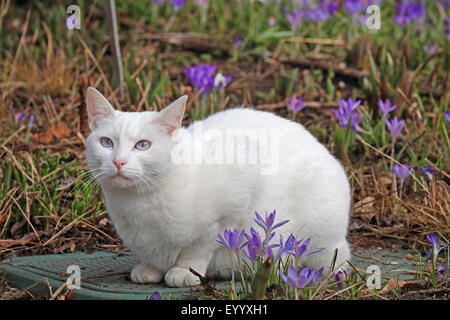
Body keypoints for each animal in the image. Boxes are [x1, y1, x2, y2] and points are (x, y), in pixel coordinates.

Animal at [85, 87, 352, 288]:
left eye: (142, 145)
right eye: (106, 143)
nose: (118, 162)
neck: (139, 202)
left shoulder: (234, 198)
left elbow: (200, 247)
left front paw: (185, 271)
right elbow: (152, 256)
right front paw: (149, 269)